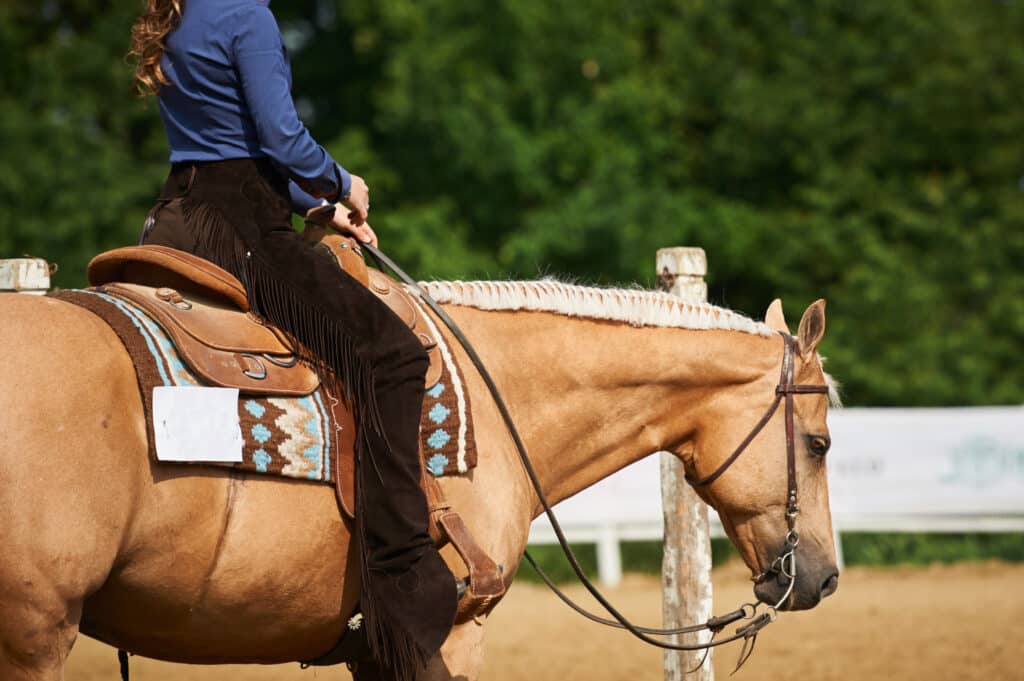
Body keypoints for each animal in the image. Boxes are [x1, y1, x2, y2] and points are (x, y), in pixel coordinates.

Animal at [0, 277, 839, 680]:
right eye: (821, 440)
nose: (825, 577)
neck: (495, 400)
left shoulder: (373, 649)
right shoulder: (451, 631)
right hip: (35, 634)